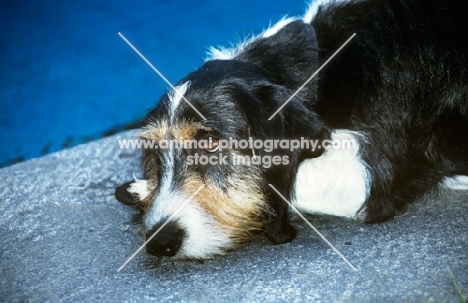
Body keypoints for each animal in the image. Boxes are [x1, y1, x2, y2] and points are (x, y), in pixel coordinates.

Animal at [114, 0, 468, 260]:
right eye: (155, 155)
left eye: (211, 143)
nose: (160, 242)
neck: (322, 67)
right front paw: (144, 189)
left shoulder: (374, 174)